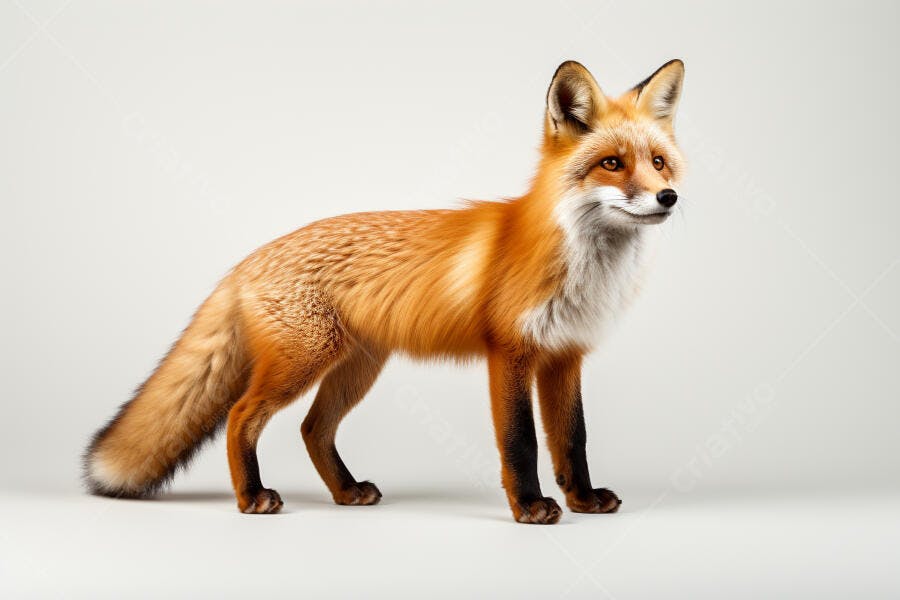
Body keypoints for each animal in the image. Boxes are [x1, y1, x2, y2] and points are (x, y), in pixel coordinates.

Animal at [84, 59, 685, 524]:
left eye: (658, 162)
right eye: (612, 164)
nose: (668, 197)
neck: (582, 266)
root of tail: (245, 262)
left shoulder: (564, 355)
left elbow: (572, 439)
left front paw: (582, 499)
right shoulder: (510, 353)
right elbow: (522, 441)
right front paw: (531, 508)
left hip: (357, 368)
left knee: (312, 428)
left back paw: (346, 492)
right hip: (302, 362)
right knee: (240, 416)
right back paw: (251, 496)